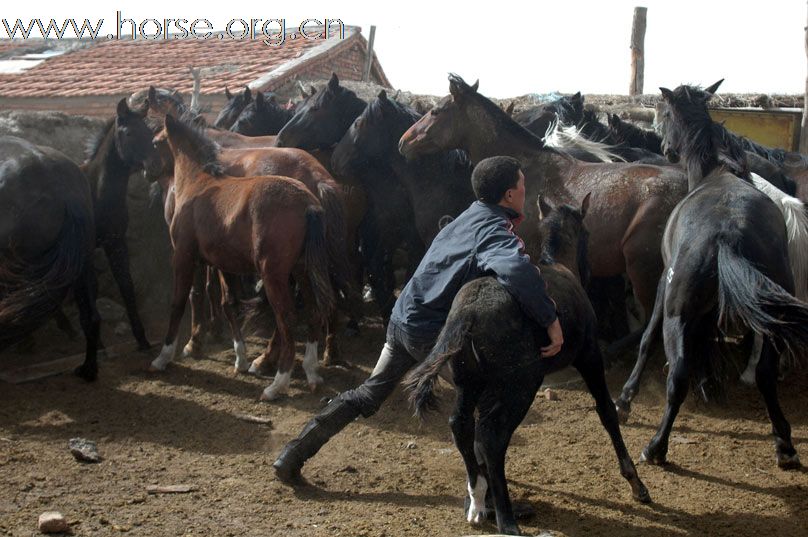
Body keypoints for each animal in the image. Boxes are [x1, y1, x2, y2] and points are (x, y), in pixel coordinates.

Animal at [151, 115, 334, 400]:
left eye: (155, 142)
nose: (147, 173)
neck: (198, 182)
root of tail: (309, 203)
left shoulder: (183, 256)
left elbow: (180, 301)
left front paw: (164, 356)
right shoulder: (222, 262)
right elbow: (228, 303)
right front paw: (240, 359)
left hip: (274, 275)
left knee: (287, 320)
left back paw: (276, 384)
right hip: (302, 270)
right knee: (313, 311)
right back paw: (311, 373)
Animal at [404, 195, 652, 532]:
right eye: (587, 233)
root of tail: (468, 313)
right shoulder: (589, 357)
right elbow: (606, 412)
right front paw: (637, 484)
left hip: (471, 383)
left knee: (463, 427)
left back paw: (479, 500)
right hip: (521, 386)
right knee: (491, 438)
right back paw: (506, 518)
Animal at [616, 82, 808, 468]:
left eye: (663, 113)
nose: (665, 149)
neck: (715, 171)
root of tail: (728, 233)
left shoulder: (664, 285)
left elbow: (647, 338)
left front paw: (626, 400)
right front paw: (708, 383)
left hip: (677, 312)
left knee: (677, 376)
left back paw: (656, 447)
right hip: (772, 314)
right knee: (765, 374)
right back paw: (784, 445)